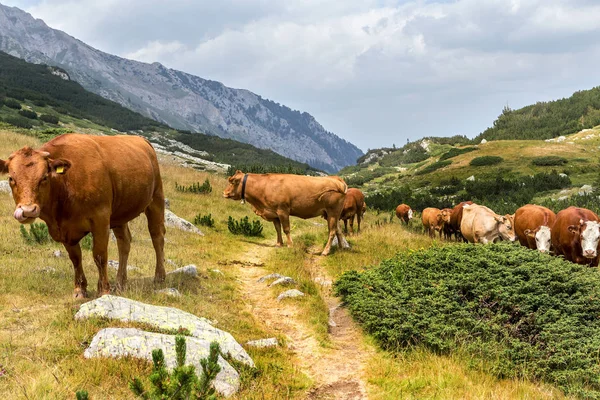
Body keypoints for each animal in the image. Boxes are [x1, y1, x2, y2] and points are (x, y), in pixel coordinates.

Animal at [2, 134, 168, 296]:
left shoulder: (101, 218)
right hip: (120, 214)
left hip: (156, 198)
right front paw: (80, 289)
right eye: (11, 178)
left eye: (44, 177)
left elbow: (99, 255)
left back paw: (159, 277)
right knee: (124, 242)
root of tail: (141, 139)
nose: (27, 210)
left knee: (157, 236)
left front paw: (103, 290)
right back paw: (121, 283)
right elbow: (76, 258)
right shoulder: (64, 231)